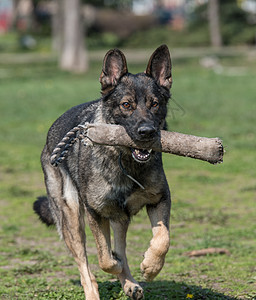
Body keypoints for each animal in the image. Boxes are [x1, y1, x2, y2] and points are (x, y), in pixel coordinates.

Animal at [33, 44, 172, 300]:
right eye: (126, 105)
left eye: (155, 104)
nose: (147, 132)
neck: (125, 163)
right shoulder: (95, 213)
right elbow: (104, 259)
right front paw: (116, 265)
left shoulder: (159, 199)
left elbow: (162, 239)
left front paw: (151, 266)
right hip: (72, 220)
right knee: (86, 265)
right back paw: (95, 291)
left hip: (119, 218)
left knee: (120, 247)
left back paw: (129, 283)